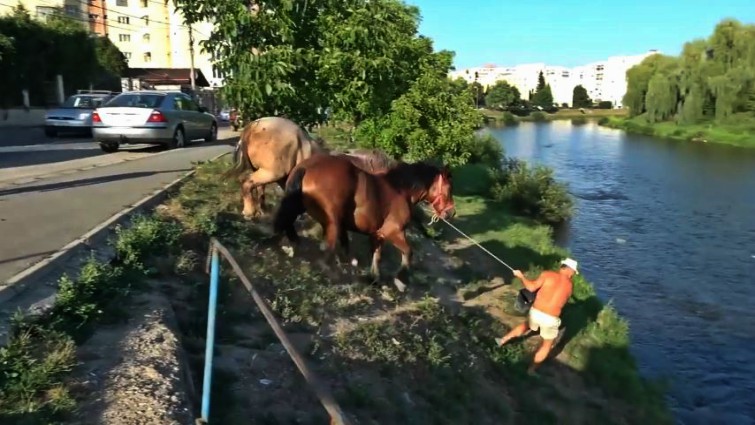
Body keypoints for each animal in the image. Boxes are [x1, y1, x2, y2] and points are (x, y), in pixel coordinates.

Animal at [271, 153, 456, 292]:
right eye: (449, 188)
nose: (451, 213)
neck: (400, 190)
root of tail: (306, 166)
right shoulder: (393, 231)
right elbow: (408, 252)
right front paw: (401, 281)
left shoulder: (377, 234)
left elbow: (377, 255)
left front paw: (375, 278)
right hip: (332, 220)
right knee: (328, 248)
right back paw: (332, 272)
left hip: (300, 206)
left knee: (289, 224)